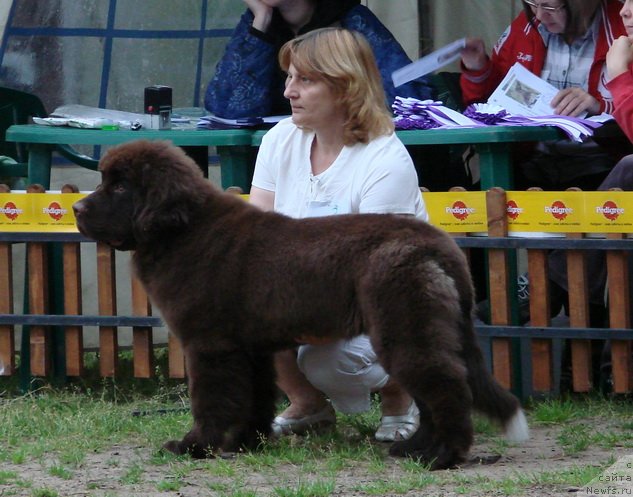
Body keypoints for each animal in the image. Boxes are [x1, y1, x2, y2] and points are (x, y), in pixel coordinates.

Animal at [74, 140, 528, 468]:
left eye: (119, 186)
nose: (76, 207)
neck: (182, 231)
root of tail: (441, 244)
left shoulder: (209, 346)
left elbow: (211, 401)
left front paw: (194, 447)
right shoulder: (249, 349)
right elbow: (253, 399)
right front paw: (245, 443)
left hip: (404, 327)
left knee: (446, 388)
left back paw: (442, 457)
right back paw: (414, 449)